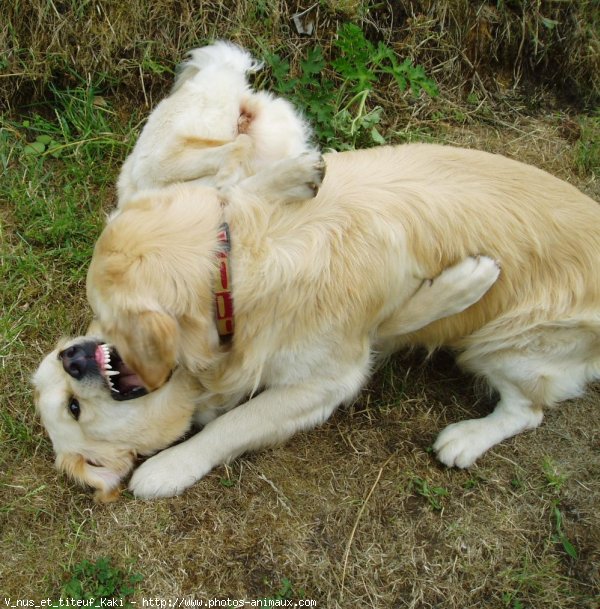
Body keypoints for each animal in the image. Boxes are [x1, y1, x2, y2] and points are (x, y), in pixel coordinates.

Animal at [34, 142, 600, 498]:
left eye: (73, 406)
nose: (72, 356)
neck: (232, 269)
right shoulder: (336, 366)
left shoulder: (331, 375)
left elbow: (232, 424)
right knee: (529, 410)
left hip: (503, 343)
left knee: (528, 409)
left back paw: (466, 438)